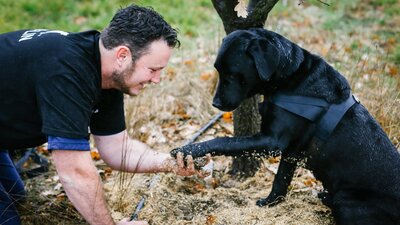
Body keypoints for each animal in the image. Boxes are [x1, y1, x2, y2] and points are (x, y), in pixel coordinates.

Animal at [173, 28, 400, 225]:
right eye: (218, 71)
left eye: (231, 74)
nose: (216, 104)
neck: (289, 78)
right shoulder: (291, 151)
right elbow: (281, 179)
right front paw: (271, 202)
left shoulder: (272, 142)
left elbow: (224, 141)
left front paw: (189, 149)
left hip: (347, 200)